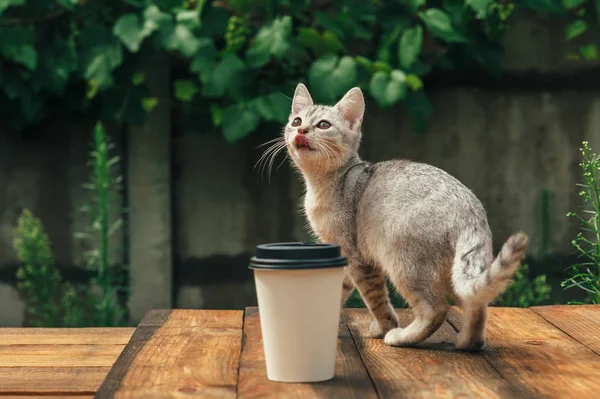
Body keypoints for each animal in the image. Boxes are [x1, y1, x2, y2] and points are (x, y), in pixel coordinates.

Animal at [276, 83, 524, 350]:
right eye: (297, 121)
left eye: (323, 125)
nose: (301, 130)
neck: (330, 181)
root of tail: (469, 209)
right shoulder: (344, 258)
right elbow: (340, 289)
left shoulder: (359, 260)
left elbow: (376, 300)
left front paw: (385, 327)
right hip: (455, 273)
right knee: (476, 303)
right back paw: (467, 343)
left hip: (402, 261)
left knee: (436, 309)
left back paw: (402, 336)